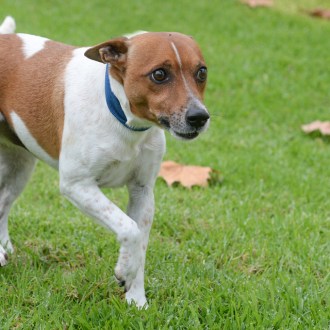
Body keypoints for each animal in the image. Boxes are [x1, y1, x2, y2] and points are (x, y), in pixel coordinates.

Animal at [0, 17, 210, 306]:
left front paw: (136, 298)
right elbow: (129, 229)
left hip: (20, 167)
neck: (121, 117)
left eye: (201, 72)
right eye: (159, 74)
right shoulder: (77, 185)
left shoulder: (143, 192)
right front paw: (124, 270)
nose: (199, 117)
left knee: (2, 204)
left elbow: (140, 244)